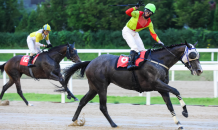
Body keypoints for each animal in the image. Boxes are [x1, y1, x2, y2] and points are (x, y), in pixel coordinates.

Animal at [62, 41, 203, 129]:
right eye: (192, 54)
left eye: (198, 54)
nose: (199, 70)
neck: (158, 61)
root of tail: (91, 62)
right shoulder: (156, 84)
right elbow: (176, 90)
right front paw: (185, 111)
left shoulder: (161, 88)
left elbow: (169, 105)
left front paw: (178, 123)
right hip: (101, 86)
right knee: (102, 106)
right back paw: (113, 124)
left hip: (94, 87)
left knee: (83, 101)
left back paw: (75, 120)